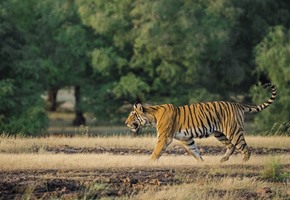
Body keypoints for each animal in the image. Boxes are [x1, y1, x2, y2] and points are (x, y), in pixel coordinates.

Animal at [124, 83, 276, 162]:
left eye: (132, 115)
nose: (125, 123)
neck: (152, 116)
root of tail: (237, 104)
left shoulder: (164, 137)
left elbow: (157, 151)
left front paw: (149, 162)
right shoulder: (186, 138)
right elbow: (194, 151)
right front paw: (202, 163)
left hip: (233, 131)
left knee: (244, 148)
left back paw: (243, 162)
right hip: (220, 133)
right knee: (231, 146)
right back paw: (223, 160)